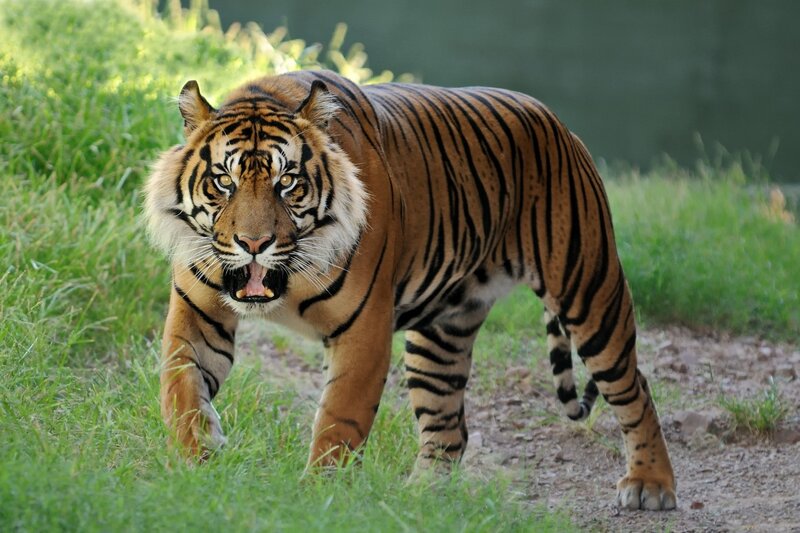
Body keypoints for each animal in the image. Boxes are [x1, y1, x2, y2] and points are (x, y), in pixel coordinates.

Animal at [144, 69, 676, 511]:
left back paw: (651, 484)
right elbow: (181, 391)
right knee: (449, 430)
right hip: (440, 337)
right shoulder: (197, 315)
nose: (254, 244)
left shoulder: (363, 331)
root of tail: (557, 122)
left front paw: (316, 497)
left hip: (589, 289)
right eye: (223, 181)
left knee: (634, 387)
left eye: (288, 182)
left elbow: (339, 422)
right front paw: (196, 464)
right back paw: (419, 500)